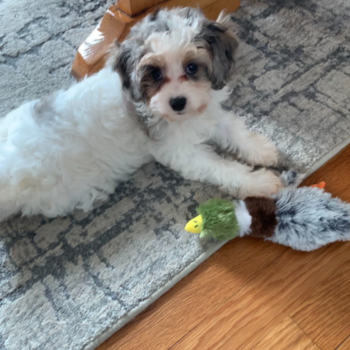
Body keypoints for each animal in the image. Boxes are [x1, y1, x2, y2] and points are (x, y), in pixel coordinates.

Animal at [0, 7, 282, 221]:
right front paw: (261, 182)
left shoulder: (208, 113)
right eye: (155, 74)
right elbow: (224, 167)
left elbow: (233, 128)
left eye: (192, 67)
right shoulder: (183, 153)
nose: (177, 102)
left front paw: (261, 150)